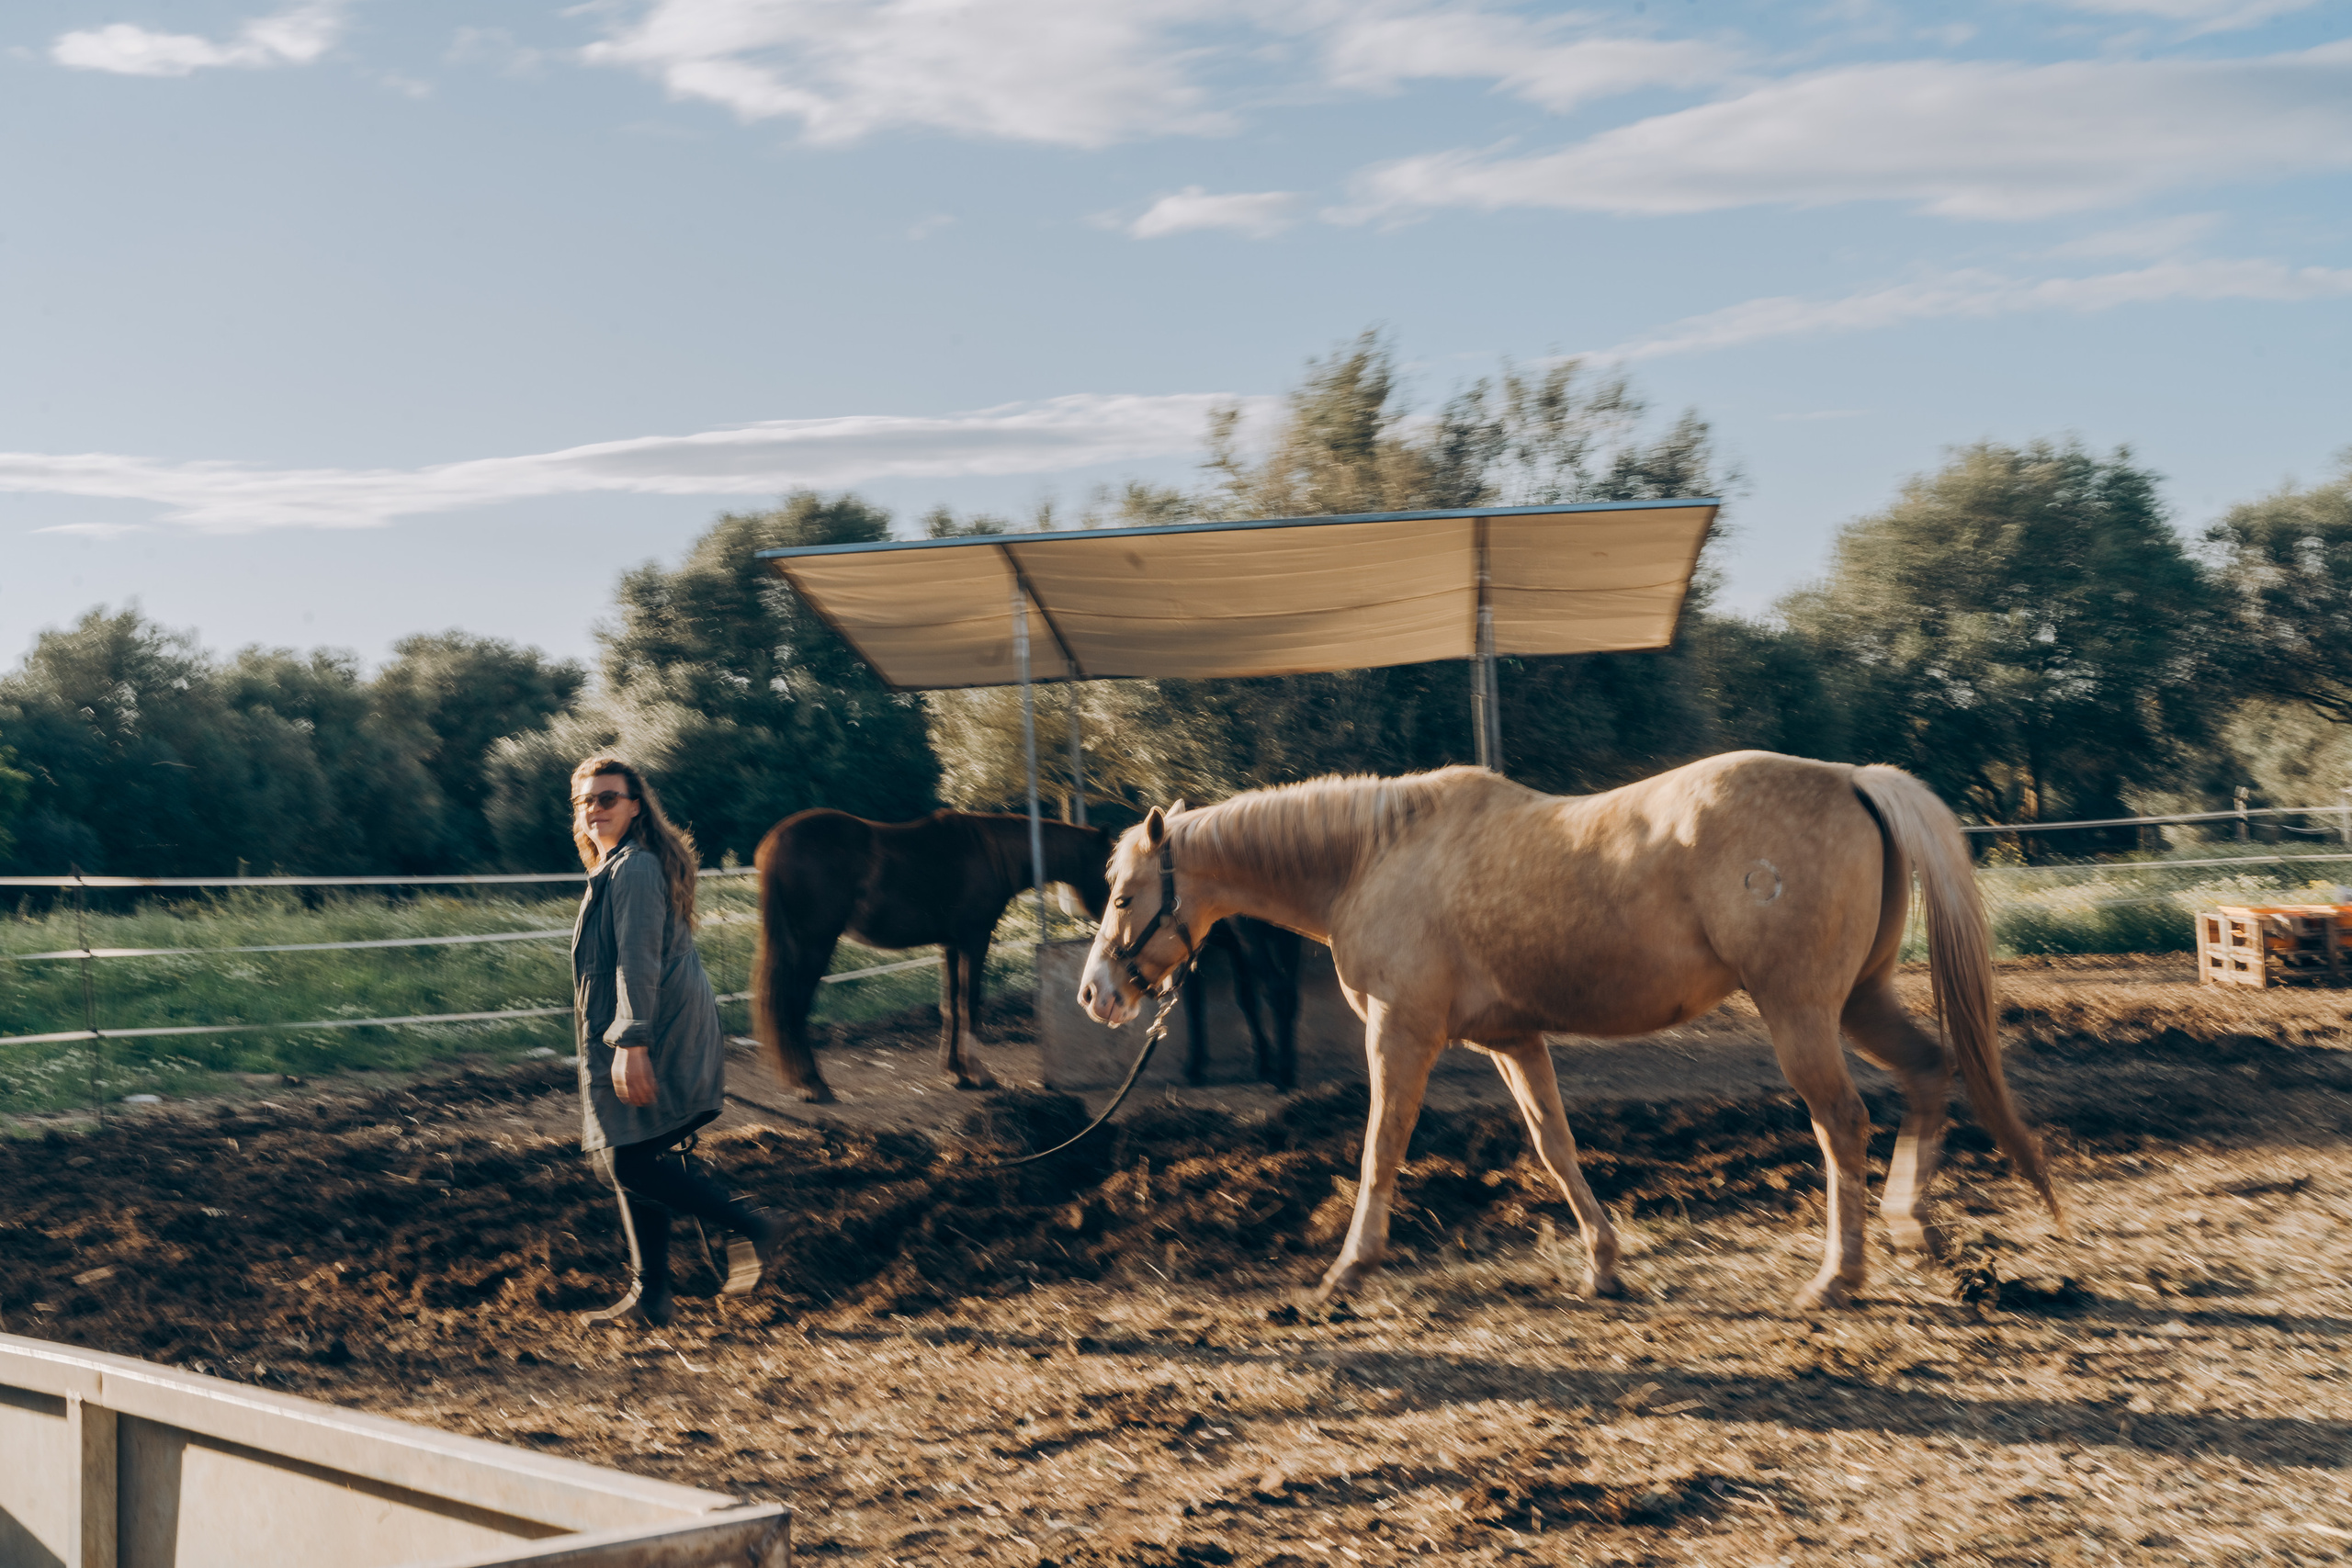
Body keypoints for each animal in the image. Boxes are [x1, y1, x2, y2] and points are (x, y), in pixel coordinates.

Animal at [753, 809, 1110, 1103]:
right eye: (1111, 872)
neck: (990, 852)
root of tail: (775, 842)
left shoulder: (950, 945)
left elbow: (951, 1006)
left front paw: (957, 1073)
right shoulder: (974, 940)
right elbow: (970, 1002)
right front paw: (978, 1074)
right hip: (815, 944)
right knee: (794, 1007)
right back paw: (813, 1085)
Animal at [1183, 916, 1304, 1091]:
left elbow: (1193, 1004)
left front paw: (1194, 1065)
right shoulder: (1236, 948)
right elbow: (1247, 1000)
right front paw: (1263, 1061)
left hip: (1251, 936)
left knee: (1277, 989)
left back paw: (1283, 1074)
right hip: (1289, 936)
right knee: (1290, 992)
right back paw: (1288, 1068)